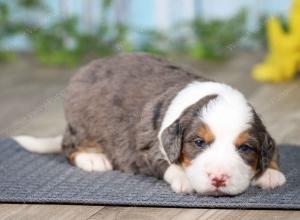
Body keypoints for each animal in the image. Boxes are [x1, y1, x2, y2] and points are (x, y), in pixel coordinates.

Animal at [14, 53, 286, 196]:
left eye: (245, 148)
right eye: (198, 142)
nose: (219, 178)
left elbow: (273, 151)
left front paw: (270, 173)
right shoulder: (146, 147)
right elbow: (166, 163)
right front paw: (184, 178)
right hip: (82, 125)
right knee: (68, 146)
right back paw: (93, 158)